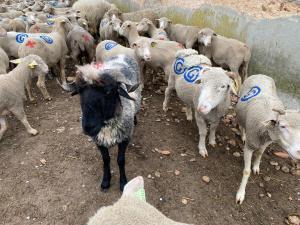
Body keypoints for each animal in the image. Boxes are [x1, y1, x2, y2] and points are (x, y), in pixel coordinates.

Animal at [68, 54, 141, 192]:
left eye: (108, 92)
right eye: (80, 92)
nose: (88, 127)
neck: (106, 124)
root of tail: (122, 54)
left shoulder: (125, 138)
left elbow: (120, 160)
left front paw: (123, 182)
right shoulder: (99, 141)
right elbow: (106, 160)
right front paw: (106, 181)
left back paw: (135, 119)